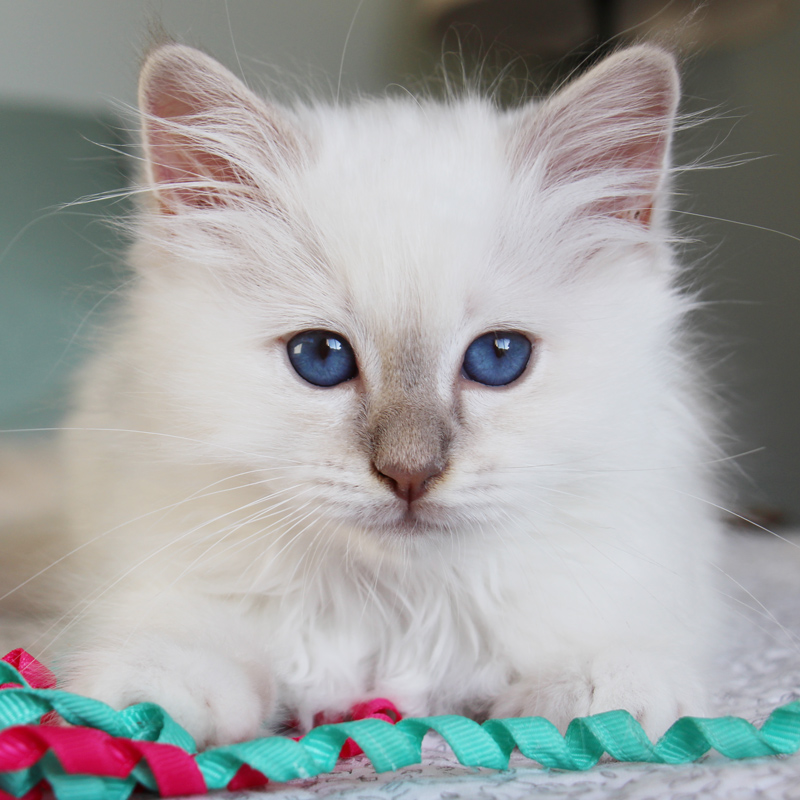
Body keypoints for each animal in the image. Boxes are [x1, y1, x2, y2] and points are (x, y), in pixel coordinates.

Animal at [56, 39, 720, 752]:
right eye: (320, 357)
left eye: (499, 357)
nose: (410, 474)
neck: (400, 609)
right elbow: (181, 648)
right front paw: (142, 713)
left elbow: (608, 655)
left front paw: (599, 700)